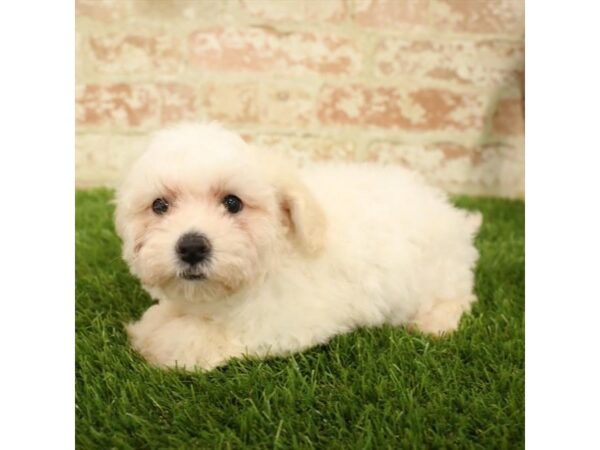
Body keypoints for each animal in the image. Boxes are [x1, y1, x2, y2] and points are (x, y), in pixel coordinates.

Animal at [116, 122, 482, 370]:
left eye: (233, 203)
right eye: (160, 206)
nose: (192, 247)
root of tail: (453, 217)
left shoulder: (278, 322)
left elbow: (194, 337)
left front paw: (156, 341)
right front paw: (156, 321)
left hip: (439, 276)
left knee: (457, 298)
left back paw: (435, 323)